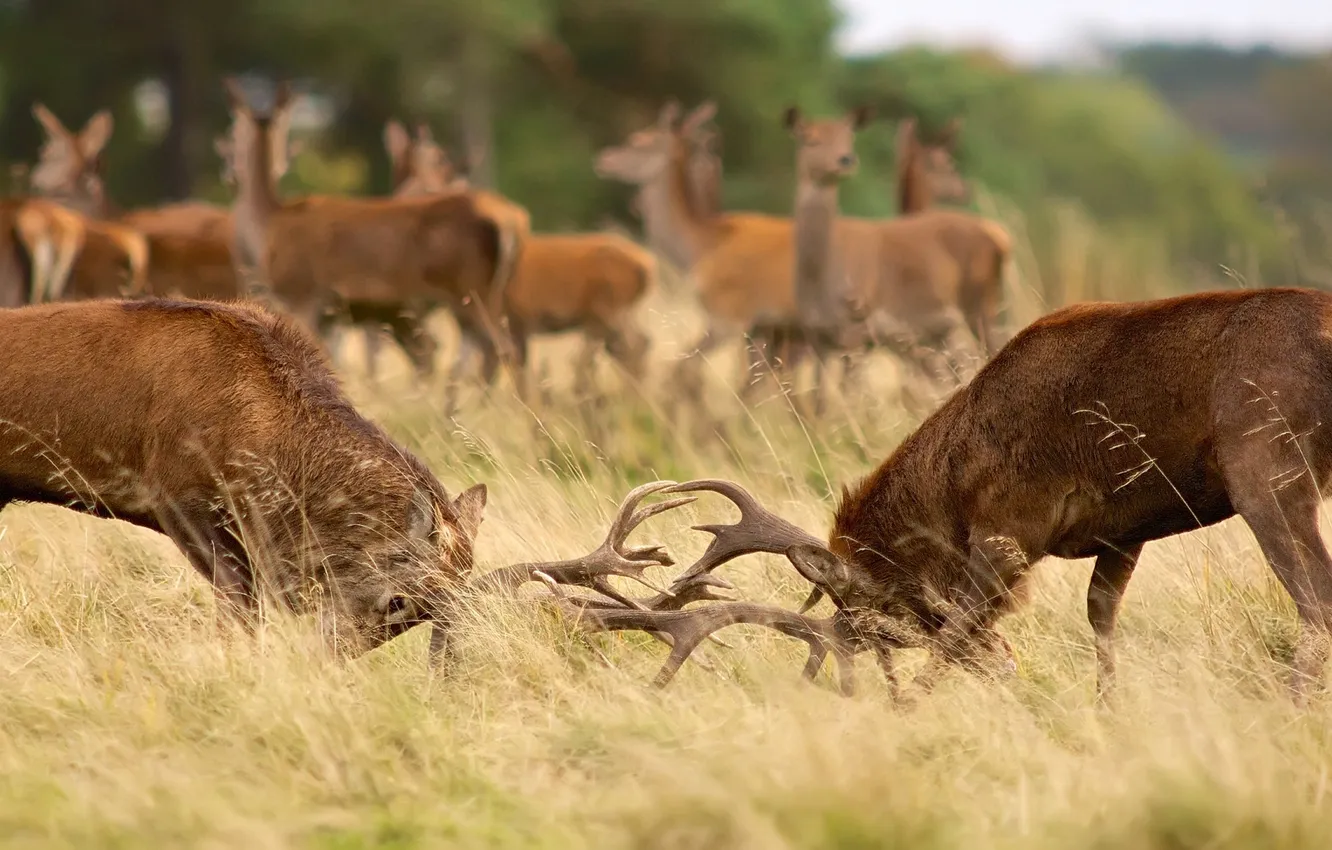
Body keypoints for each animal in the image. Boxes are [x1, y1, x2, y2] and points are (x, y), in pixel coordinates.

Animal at [221, 79, 525, 404]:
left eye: (233, 130)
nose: (230, 169)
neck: (268, 226)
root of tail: (508, 223)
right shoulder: (334, 314)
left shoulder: (302, 295)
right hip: (479, 294)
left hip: (469, 288)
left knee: (499, 349)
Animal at [383, 119, 655, 400]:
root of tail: (647, 266)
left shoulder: (511, 320)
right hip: (609, 315)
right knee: (636, 345)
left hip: (604, 309)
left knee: (630, 347)